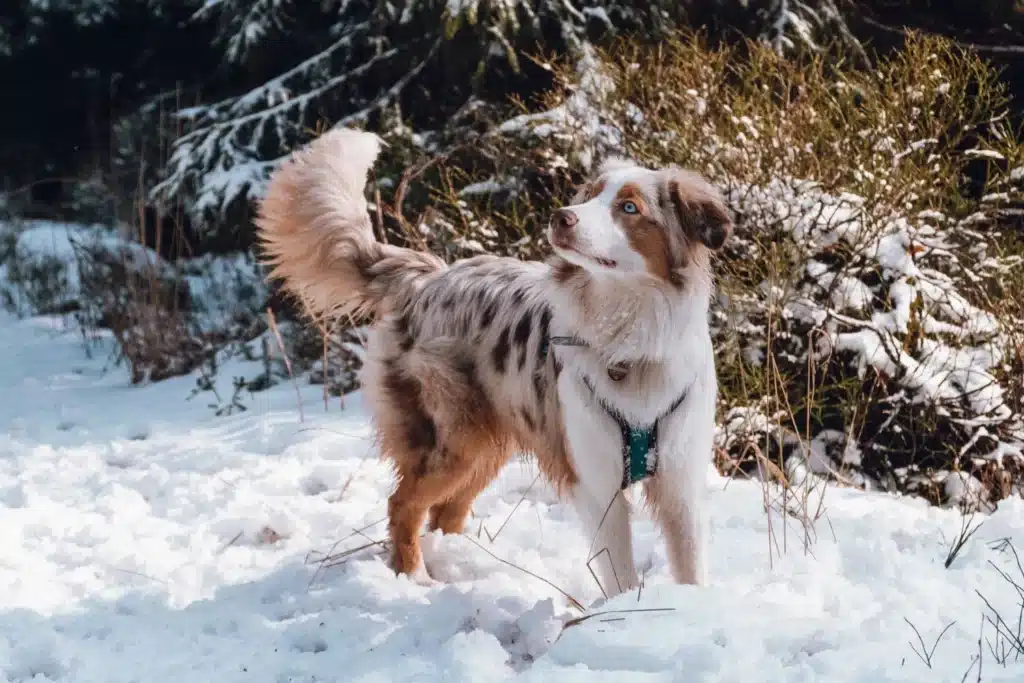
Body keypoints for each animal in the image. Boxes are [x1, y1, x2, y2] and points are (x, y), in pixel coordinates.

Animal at [258, 127, 737, 598]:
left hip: (486, 442)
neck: (629, 337)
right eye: (589, 195)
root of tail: (428, 278)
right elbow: (620, 574)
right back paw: (416, 577)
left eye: (629, 207)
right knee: (404, 503)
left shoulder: (680, 482)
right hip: (455, 439)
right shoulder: (598, 483)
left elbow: (690, 567)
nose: (561, 216)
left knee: (446, 512)